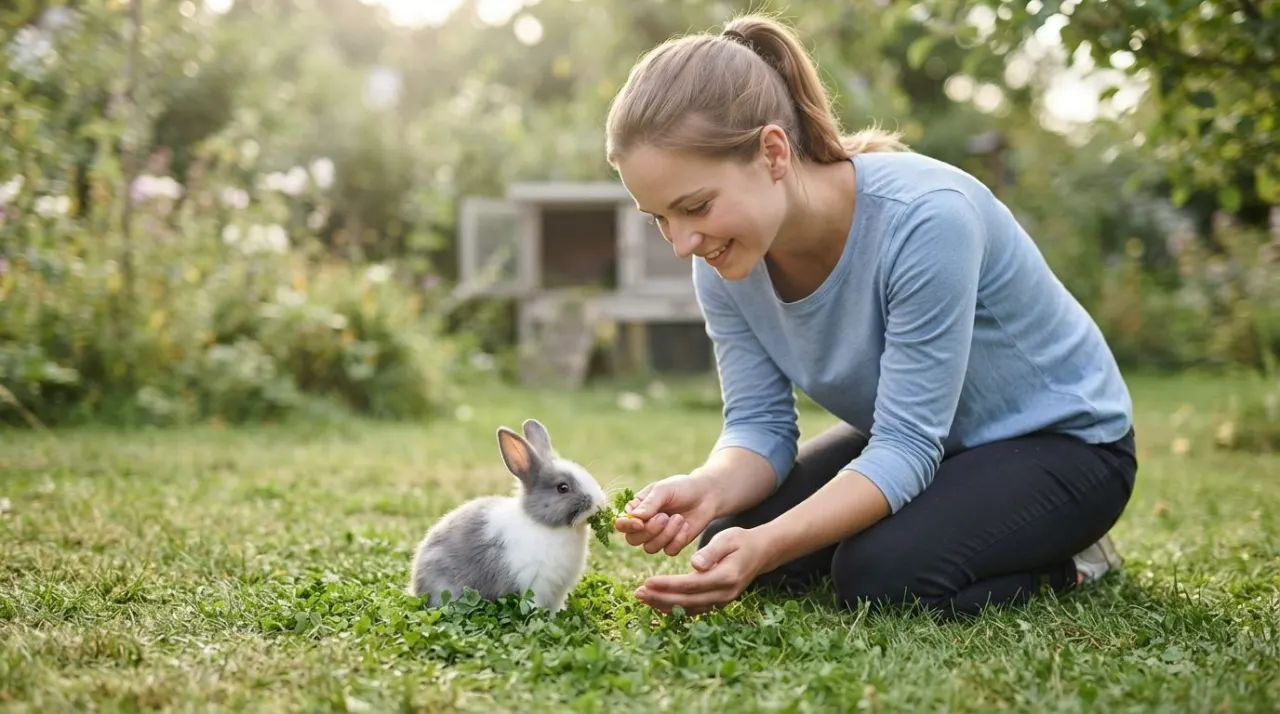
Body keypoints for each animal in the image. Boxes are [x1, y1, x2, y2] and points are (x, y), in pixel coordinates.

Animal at [407, 418, 607, 615]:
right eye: (562, 488)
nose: (599, 502)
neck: (544, 524)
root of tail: (417, 585)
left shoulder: (559, 591)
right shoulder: (536, 584)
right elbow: (535, 606)